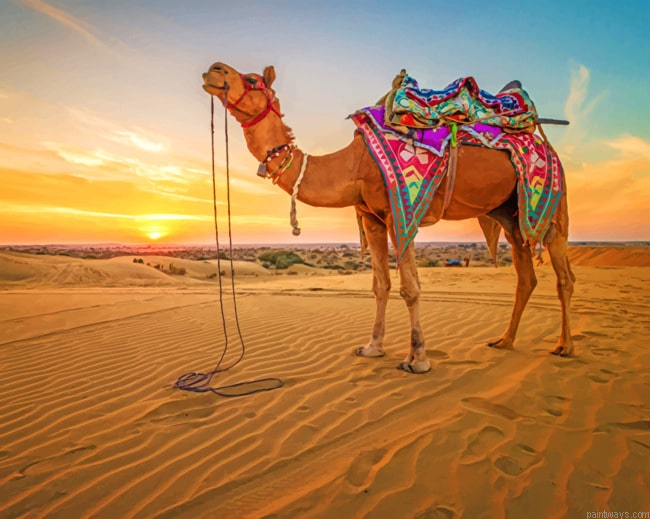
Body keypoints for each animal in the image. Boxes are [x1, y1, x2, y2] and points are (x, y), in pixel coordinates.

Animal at [202, 62, 576, 374]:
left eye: (252, 79)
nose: (214, 69)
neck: (352, 165)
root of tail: (545, 145)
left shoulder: (401, 213)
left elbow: (410, 287)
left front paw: (417, 359)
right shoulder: (372, 219)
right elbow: (380, 284)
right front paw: (372, 347)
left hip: (553, 204)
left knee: (563, 276)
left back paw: (564, 346)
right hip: (510, 215)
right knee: (525, 275)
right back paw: (505, 340)